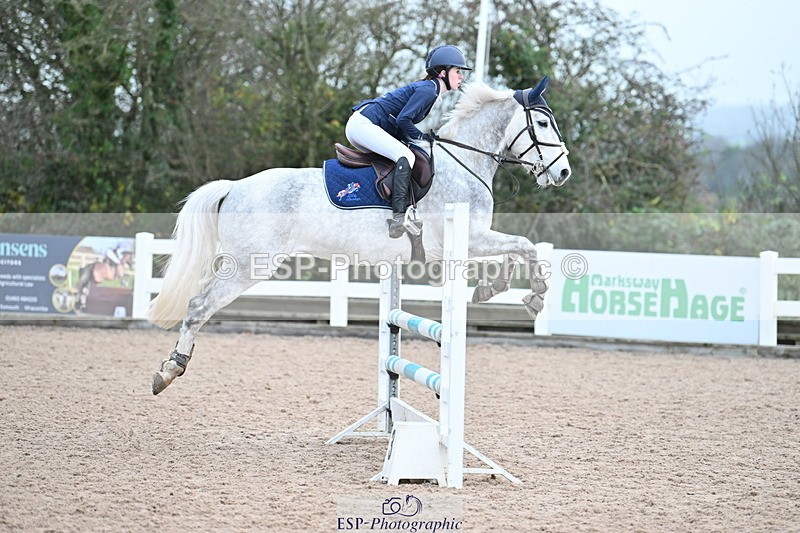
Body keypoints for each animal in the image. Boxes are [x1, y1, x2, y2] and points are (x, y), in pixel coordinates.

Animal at [149, 78, 572, 395]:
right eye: (543, 124)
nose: (563, 172)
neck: (464, 161)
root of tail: (234, 186)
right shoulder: (472, 239)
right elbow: (525, 247)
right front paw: (534, 296)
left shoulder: (473, 240)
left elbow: (518, 250)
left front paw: (494, 289)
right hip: (249, 266)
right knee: (198, 306)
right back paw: (170, 370)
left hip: (240, 263)